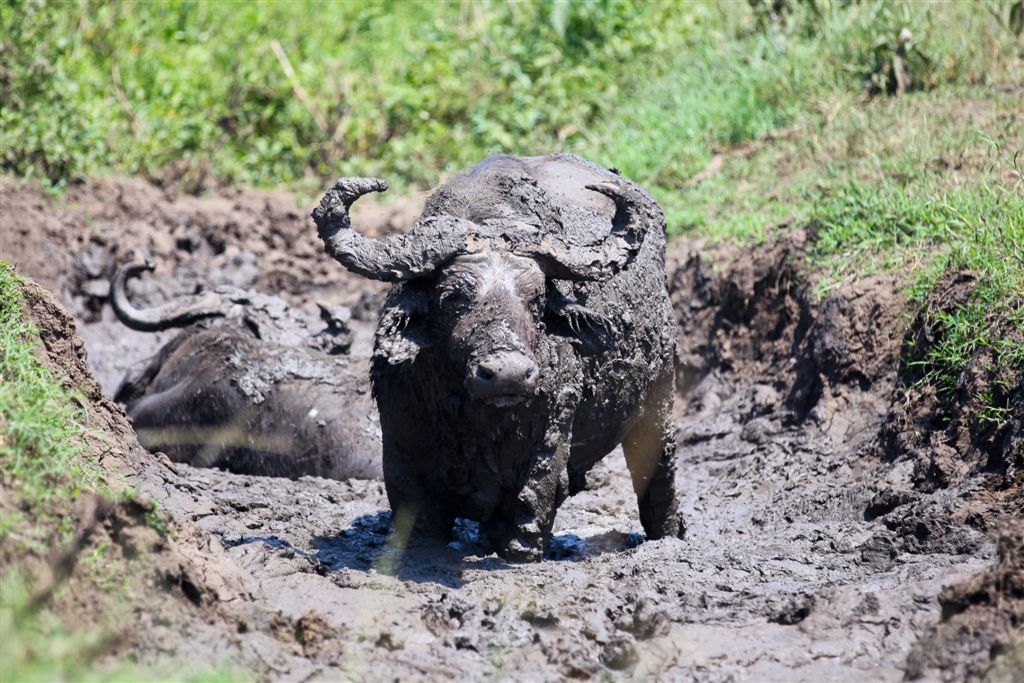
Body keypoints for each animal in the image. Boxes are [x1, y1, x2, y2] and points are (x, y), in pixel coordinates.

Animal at [309, 153, 679, 561]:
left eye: (536, 298)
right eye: (453, 297)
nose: (508, 374)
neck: (478, 423)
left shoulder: (549, 439)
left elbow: (530, 508)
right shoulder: (401, 448)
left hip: (660, 400)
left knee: (658, 474)